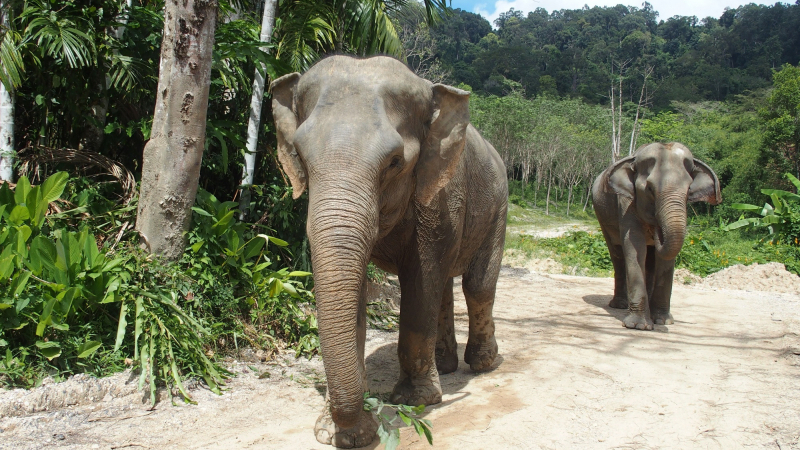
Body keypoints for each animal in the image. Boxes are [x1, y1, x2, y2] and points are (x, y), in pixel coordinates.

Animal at [270, 55, 508, 447]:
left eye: (395, 162)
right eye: (300, 157)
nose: (364, 421)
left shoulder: (439, 194)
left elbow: (421, 281)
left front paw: (415, 401)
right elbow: (359, 293)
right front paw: (340, 433)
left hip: (498, 206)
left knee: (477, 284)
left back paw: (484, 364)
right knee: (445, 286)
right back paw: (445, 367)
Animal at [591, 142, 721, 330]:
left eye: (689, 189)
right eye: (650, 189)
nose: (656, 229)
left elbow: (664, 259)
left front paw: (663, 321)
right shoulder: (626, 202)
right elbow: (635, 245)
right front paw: (639, 326)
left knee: (650, 260)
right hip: (603, 218)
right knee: (617, 254)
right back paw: (620, 305)